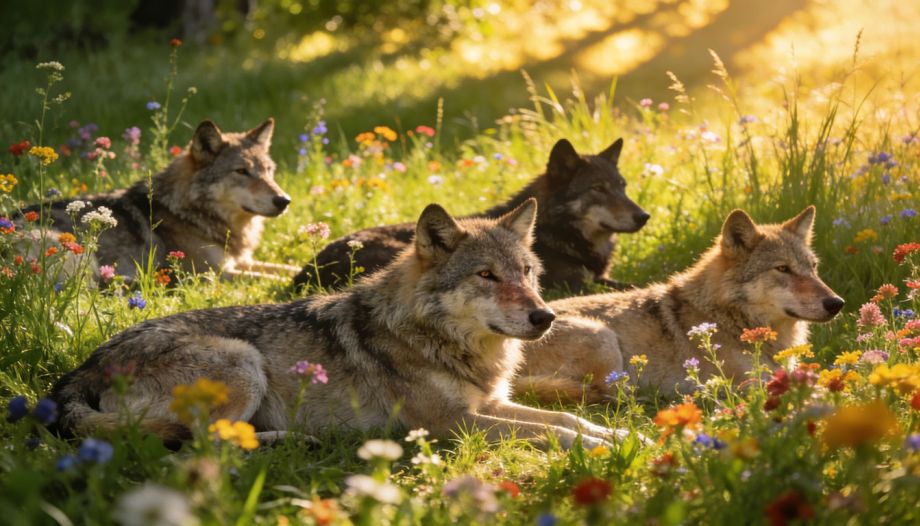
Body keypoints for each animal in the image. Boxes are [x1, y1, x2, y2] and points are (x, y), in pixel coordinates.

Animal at [18, 118, 298, 282]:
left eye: (268, 171)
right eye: (241, 171)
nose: (284, 200)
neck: (189, 212)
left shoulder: (242, 262)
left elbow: (284, 269)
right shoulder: (215, 273)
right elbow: (272, 279)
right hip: (81, 257)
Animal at [50, 199, 629, 450]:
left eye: (527, 273)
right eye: (486, 275)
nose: (545, 316)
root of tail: (83, 368)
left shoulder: (489, 404)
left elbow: (565, 419)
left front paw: (623, 432)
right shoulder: (452, 423)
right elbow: (550, 432)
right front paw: (601, 447)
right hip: (243, 361)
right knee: (203, 444)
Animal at [292, 138, 649, 293]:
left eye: (623, 186)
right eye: (598, 189)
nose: (644, 216)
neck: (558, 229)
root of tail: (303, 273)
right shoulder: (576, 283)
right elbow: (634, 283)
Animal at [516, 206, 845, 403]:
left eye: (813, 268)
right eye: (783, 269)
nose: (837, 303)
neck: (728, 316)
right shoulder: (753, 384)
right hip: (604, 339)